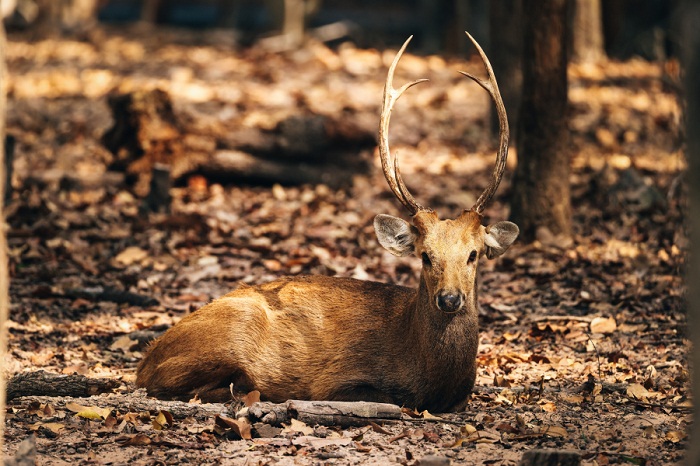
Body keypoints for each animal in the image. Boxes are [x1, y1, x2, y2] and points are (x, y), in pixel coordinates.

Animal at [137, 32, 520, 412]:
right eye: (426, 255)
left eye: (473, 254)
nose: (450, 299)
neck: (431, 383)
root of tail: (144, 362)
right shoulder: (337, 380)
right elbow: (386, 399)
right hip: (231, 333)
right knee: (177, 386)